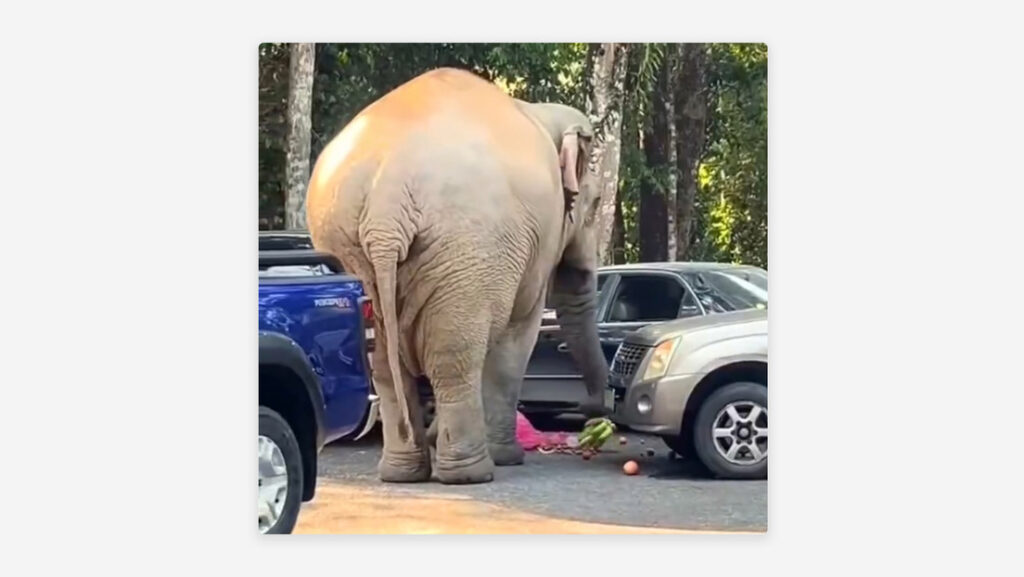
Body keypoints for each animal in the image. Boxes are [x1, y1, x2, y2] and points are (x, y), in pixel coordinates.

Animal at [305, 67, 609, 485]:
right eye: (596, 205)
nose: (590, 411)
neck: (539, 111)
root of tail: (386, 204)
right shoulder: (534, 245)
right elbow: (518, 337)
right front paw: (509, 457)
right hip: (466, 251)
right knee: (456, 357)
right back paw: (471, 473)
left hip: (352, 249)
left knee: (383, 363)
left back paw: (403, 473)